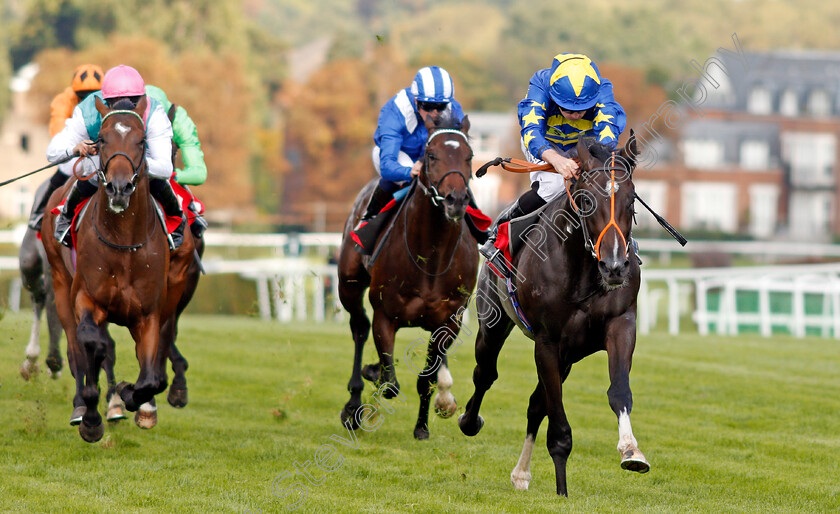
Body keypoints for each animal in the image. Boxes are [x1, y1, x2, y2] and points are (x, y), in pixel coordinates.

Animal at [43, 96, 197, 440]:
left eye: (142, 141)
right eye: (101, 140)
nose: (118, 188)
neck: (124, 243)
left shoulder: (151, 312)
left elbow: (152, 375)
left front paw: (133, 396)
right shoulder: (86, 298)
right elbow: (91, 343)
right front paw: (92, 417)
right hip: (60, 284)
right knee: (76, 347)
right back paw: (82, 406)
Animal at [336, 112, 480, 436]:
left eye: (469, 156)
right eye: (431, 155)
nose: (455, 200)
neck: (431, 260)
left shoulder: (450, 320)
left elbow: (425, 378)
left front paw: (423, 426)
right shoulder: (385, 315)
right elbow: (389, 382)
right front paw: (372, 373)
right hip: (348, 283)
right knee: (359, 327)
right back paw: (353, 404)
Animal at [456, 133, 648, 496]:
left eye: (631, 201)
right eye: (586, 201)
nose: (615, 266)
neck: (584, 272)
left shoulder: (620, 326)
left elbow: (618, 391)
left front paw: (631, 451)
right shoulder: (547, 341)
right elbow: (558, 424)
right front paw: (562, 490)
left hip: (569, 355)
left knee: (535, 404)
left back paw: (521, 473)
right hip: (493, 322)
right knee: (485, 373)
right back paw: (469, 421)